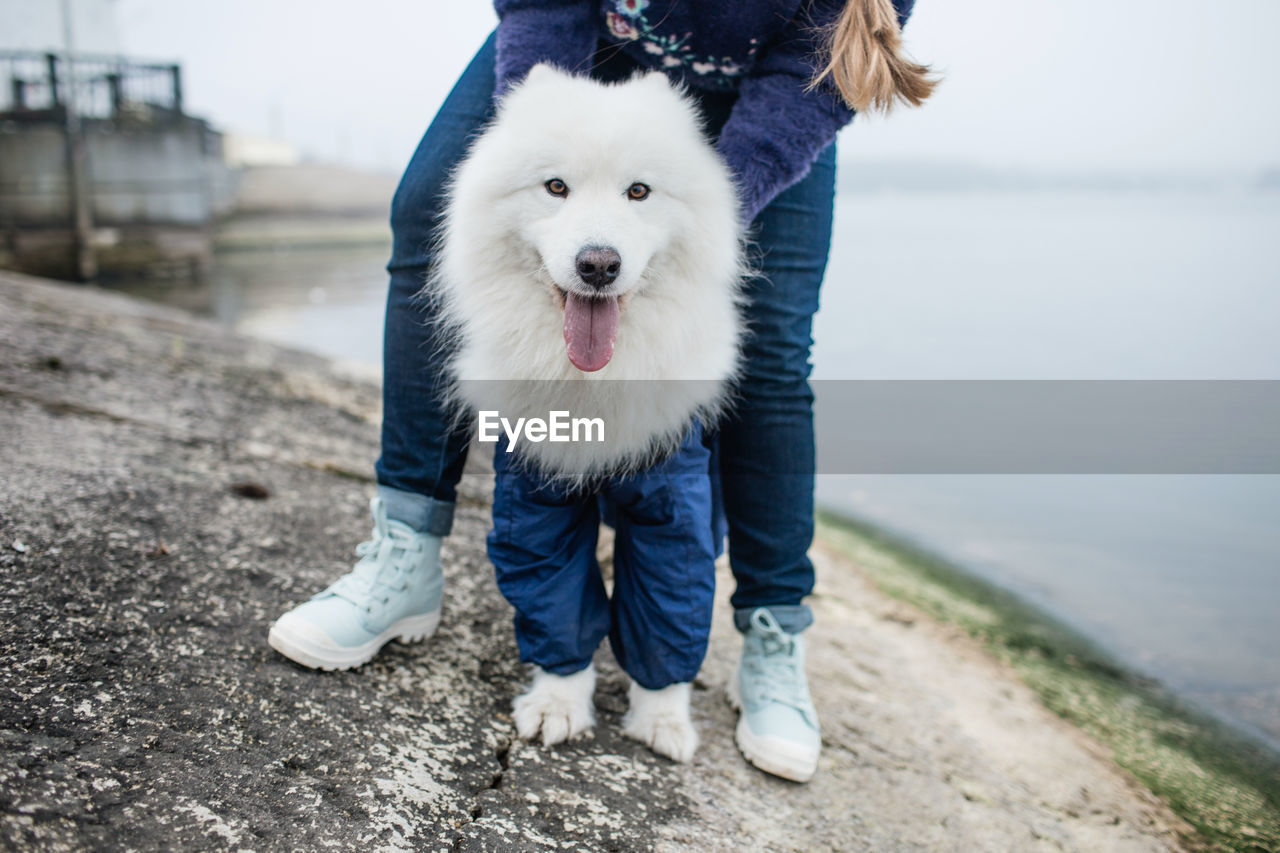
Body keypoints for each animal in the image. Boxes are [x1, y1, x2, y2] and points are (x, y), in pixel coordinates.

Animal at [435, 64, 747, 758]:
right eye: (556, 187)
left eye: (639, 191)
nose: (599, 264)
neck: (592, 383)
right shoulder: (535, 496)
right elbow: (558, 603)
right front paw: (558, 704)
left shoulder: (673, 504)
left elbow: (670, 610)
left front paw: (663, 719)